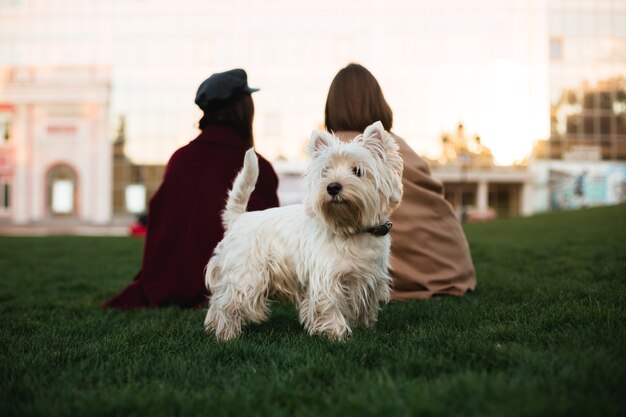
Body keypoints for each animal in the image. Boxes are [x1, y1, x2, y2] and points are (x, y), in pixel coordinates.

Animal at [202, 120, 402, 342]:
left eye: (358, 171)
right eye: (325, 171)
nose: (333, 187)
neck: (353, 230)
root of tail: (238, 218)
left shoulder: (369, 279)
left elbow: (364, 307)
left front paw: (364, 329)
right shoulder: (327, 278)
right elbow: (330, 306)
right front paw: (335, 335)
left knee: (217, 302)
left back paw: (212, 328)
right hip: (246, 275)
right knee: (228, 304)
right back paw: (226, 335)